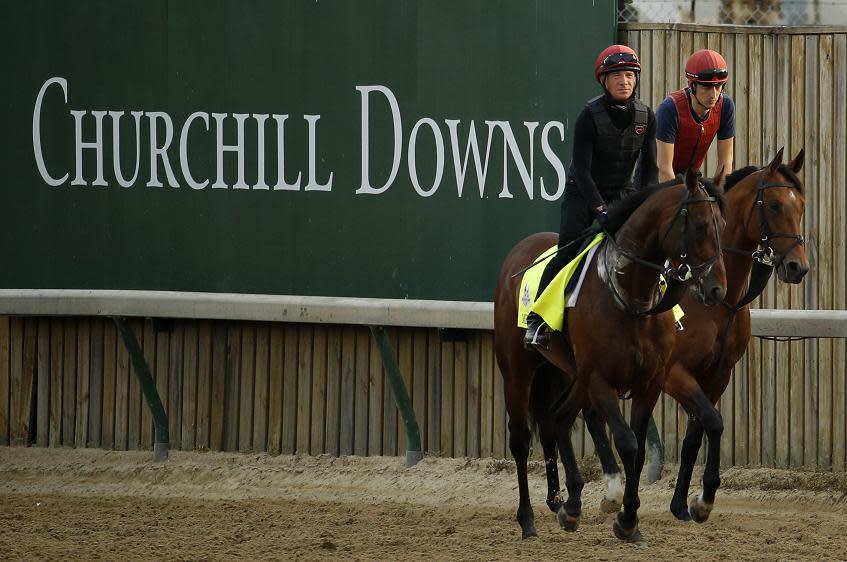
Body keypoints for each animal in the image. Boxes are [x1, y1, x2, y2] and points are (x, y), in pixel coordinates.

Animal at [496, 167, 728, 540]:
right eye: (701, 225)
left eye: (723, 223)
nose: (717, 289)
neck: (631, 294)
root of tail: (520, 249)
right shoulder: (601, 380)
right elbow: (628, 443)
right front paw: (626, 519)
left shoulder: (650, 382)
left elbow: (638, 448)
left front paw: (630, 517)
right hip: (518, 370)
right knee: (520, 438)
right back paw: (528, 518)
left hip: (569, 374)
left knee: (556, 419)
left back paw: (569, 505)